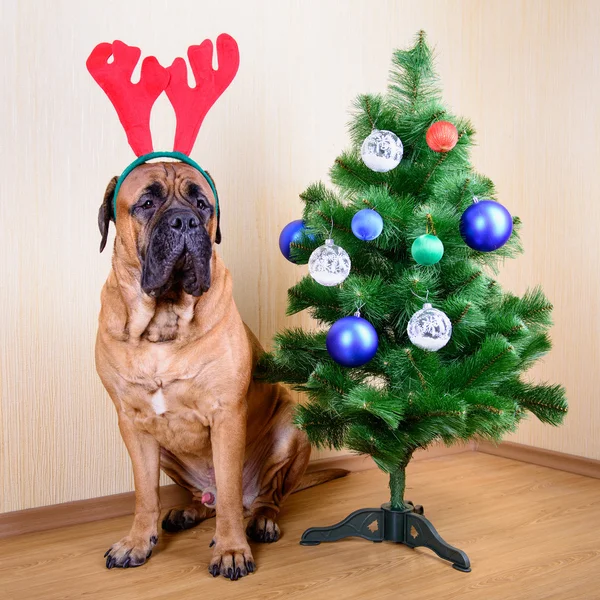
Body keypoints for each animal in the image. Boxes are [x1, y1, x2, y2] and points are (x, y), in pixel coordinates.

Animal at [96, 162, 344, 580]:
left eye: (202, 204)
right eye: (147, 202)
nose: (185, 221)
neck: (163, 320)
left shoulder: (226, 415)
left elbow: (228, 490)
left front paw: (231, 550)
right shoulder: (132, 422)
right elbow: (145, 493)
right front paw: (137, 542)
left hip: (292, 428)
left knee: (261, 497)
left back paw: (261, 521)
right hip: (166, 450)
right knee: (206, 499)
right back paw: (187, 512)